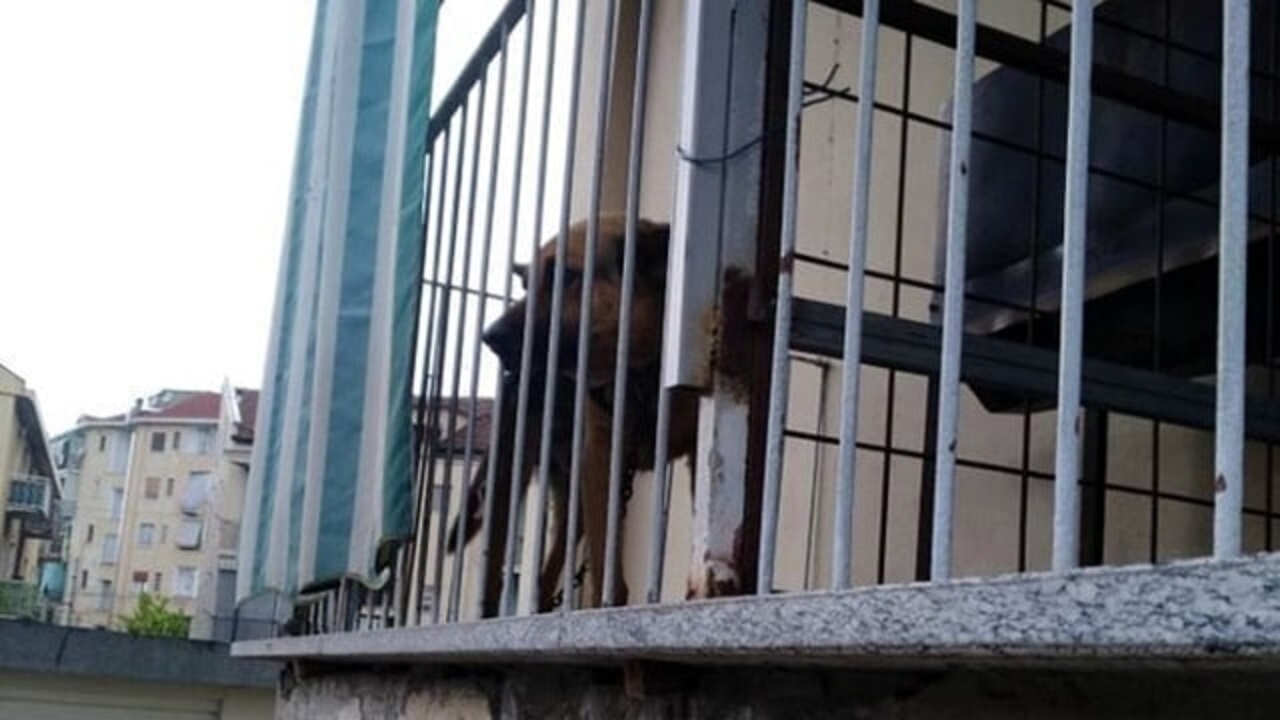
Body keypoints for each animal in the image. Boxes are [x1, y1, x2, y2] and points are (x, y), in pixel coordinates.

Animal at [445, 213, 696, 609]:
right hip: (509, 485)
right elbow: (609, 575)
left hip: (571, 500)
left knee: (544, 577)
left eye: (566, 277)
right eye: (527, 285)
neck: (643, 371)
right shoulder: (600, 461)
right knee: (497, 575)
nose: (489, 337)